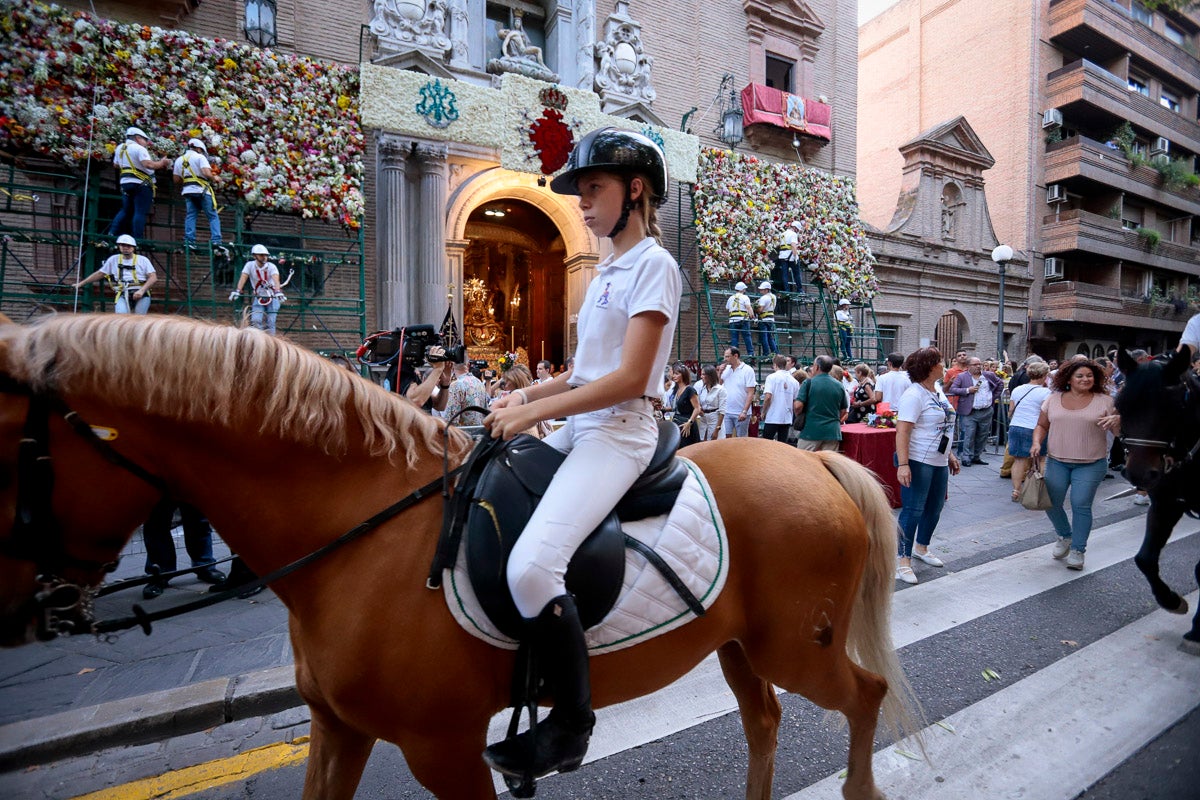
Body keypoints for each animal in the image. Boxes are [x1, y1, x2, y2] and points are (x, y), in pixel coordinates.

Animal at [0, 311, 916, 800]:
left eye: (11, 447)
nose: (23, 610)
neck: (361, 530)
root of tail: (814, 460)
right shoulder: (339, 727)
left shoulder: (442, 747)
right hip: (738, 644)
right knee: (764, 721)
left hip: (797, 647)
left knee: (864, 695)